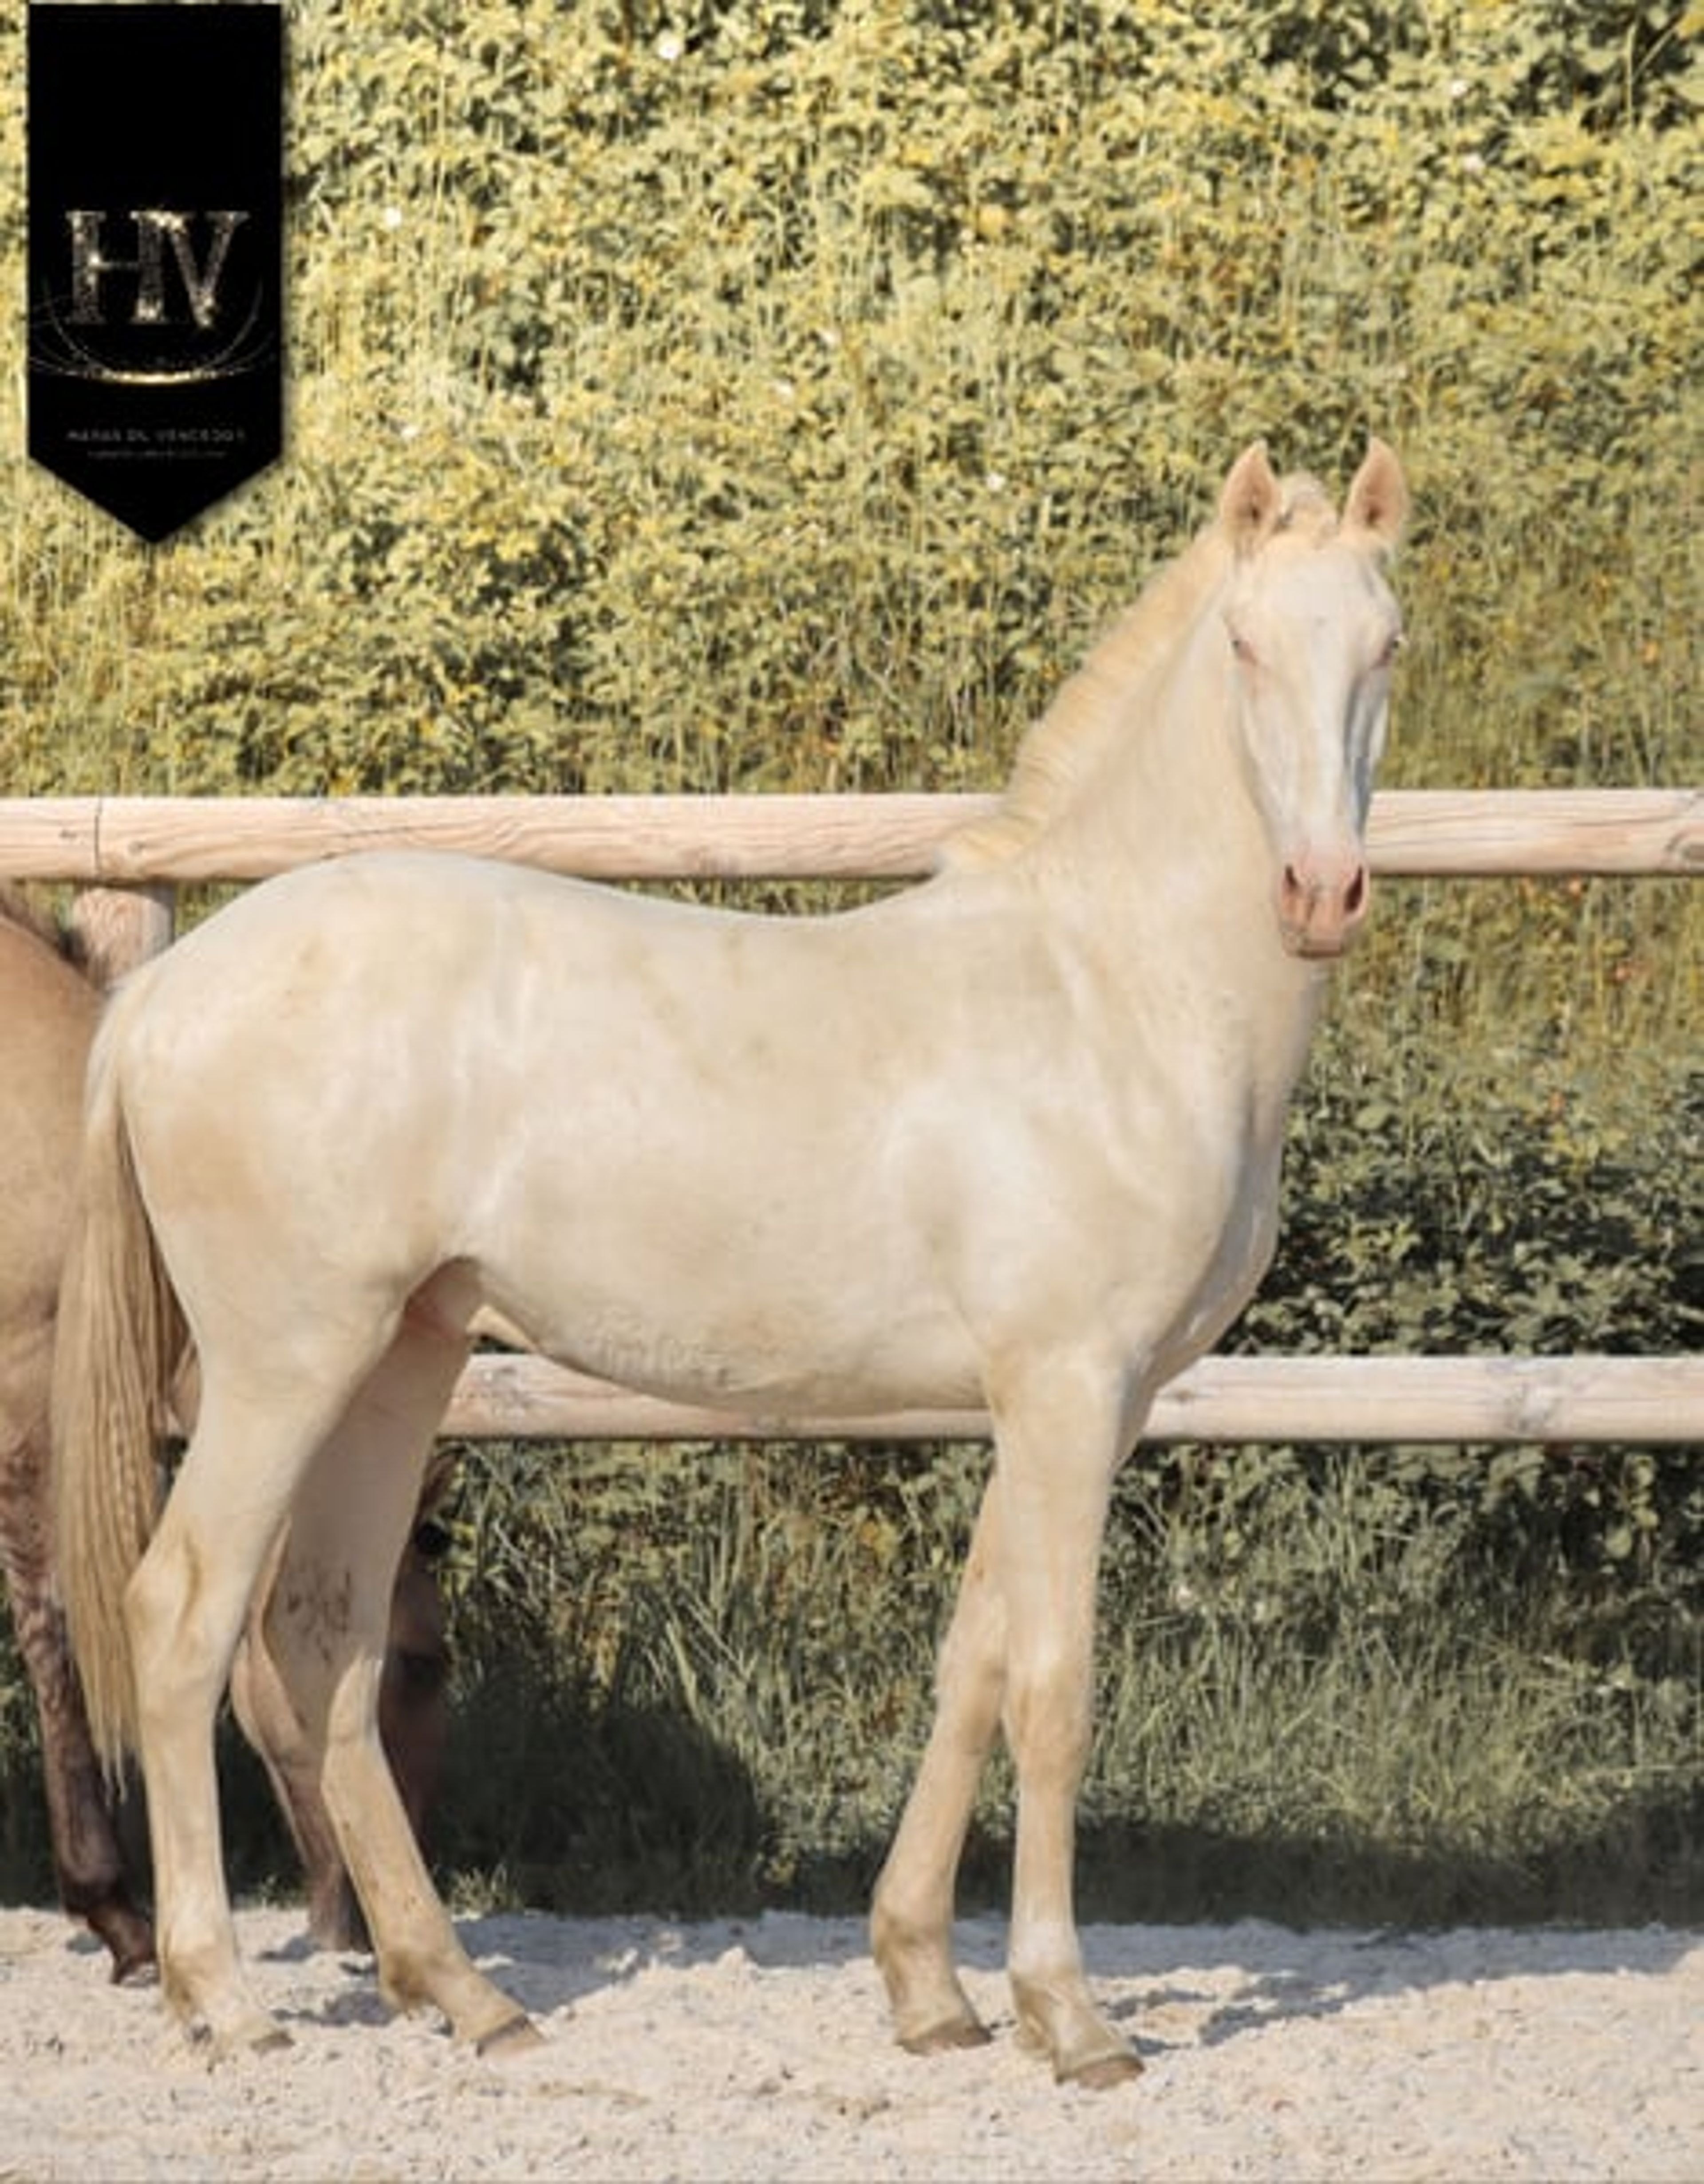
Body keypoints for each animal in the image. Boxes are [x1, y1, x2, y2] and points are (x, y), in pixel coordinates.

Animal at [53, 438, 1408, 2083]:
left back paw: (464, 1991)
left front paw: (928, 1986)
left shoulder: (1057, 1405)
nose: (1320, 893)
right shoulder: (1073, 1393)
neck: (1105, 991)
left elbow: (971, 1669)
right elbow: (1053, 1688)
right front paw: (1070, 2015)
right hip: (285, 1366)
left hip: (400, 1359)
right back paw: (223, 1996)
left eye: (1387, 645)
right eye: (1246, 647)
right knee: (184, 1617)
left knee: (325, 1636)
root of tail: (165, 991)